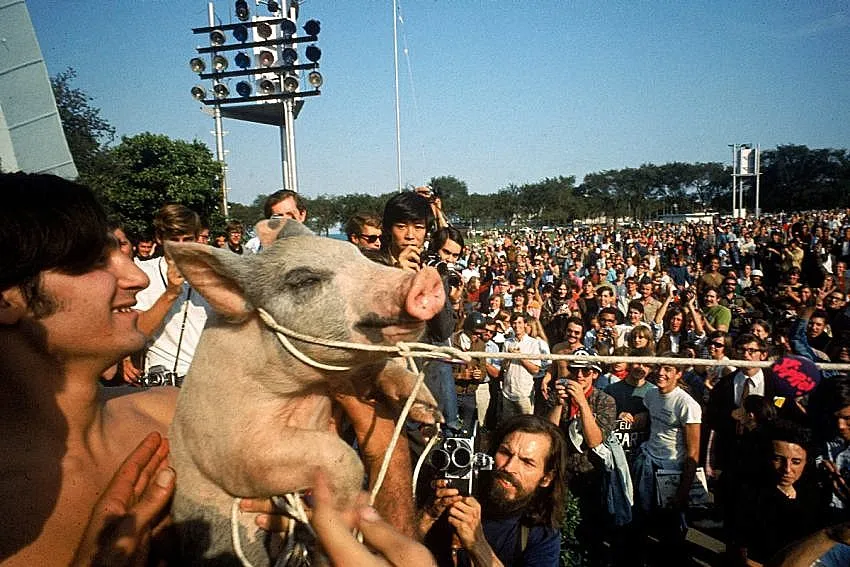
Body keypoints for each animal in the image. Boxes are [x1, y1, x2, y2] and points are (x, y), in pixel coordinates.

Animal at [166, 219, 444, 566]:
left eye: (357, 255)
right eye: (305, 280)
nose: (427, 278)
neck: (308, 390)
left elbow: (382, 369)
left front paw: (430, 411)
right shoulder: (232, 449)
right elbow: (341, 456)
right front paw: (344, 511)